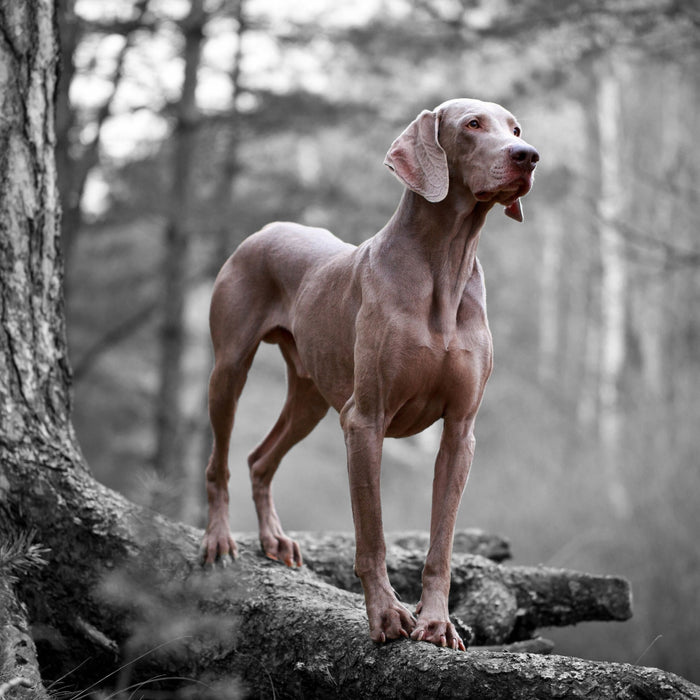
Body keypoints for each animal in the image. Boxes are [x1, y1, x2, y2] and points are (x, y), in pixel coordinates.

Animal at [200, 98, 540, 652]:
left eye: (514, 128)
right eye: (472, 124)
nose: (528, 156)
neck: (445, 265)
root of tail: (266, 229)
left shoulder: (460, 432)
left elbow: (441, 544)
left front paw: (437, 622)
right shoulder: (365, 421)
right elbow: (372, 535)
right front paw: (385, 615)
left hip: (311, 398)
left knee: (259, 459)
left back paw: (274, 539)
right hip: (229, 369)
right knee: (221, 462)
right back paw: (219, 539)